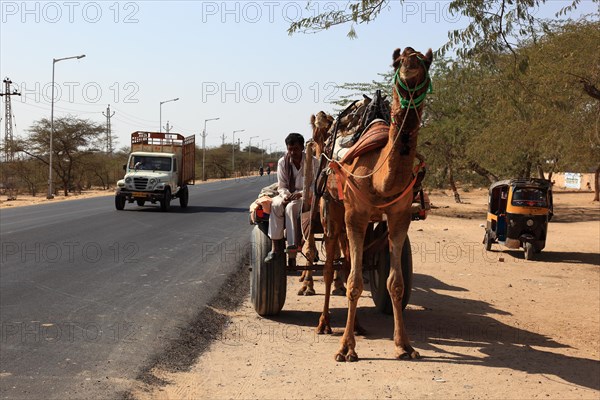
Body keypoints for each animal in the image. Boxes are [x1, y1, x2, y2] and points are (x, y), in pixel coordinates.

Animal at [330, 47, 434, 362]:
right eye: (398, 60)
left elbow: (395, 284)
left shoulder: (400, 217)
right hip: (335, 209)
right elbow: (354, 283)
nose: (411, 64)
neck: (380, 181)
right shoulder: (355, 215)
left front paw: (404, 345)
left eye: (426, 62)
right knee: (338, 257)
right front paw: (346, 349)